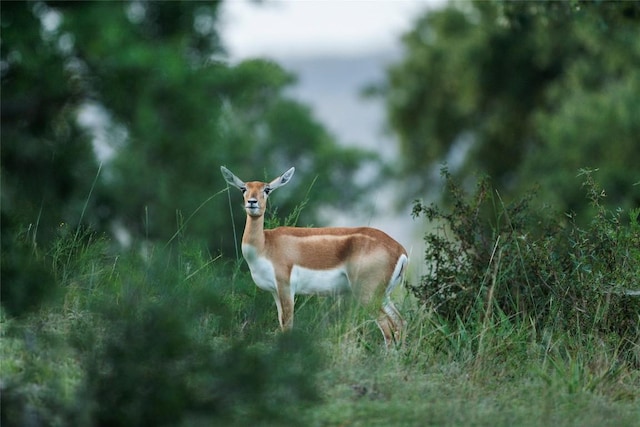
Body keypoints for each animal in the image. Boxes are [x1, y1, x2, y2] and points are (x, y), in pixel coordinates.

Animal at [222, 166, 408, 346]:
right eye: (243, 188)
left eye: (267, 189)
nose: (252, 202)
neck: (265, 244)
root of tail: (400, 250)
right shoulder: (275, 291)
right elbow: (282, 324)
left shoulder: (286, 287)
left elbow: (288, 325)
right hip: (383, 295)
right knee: (400, 322)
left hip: (367, 294)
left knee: (387, 327)